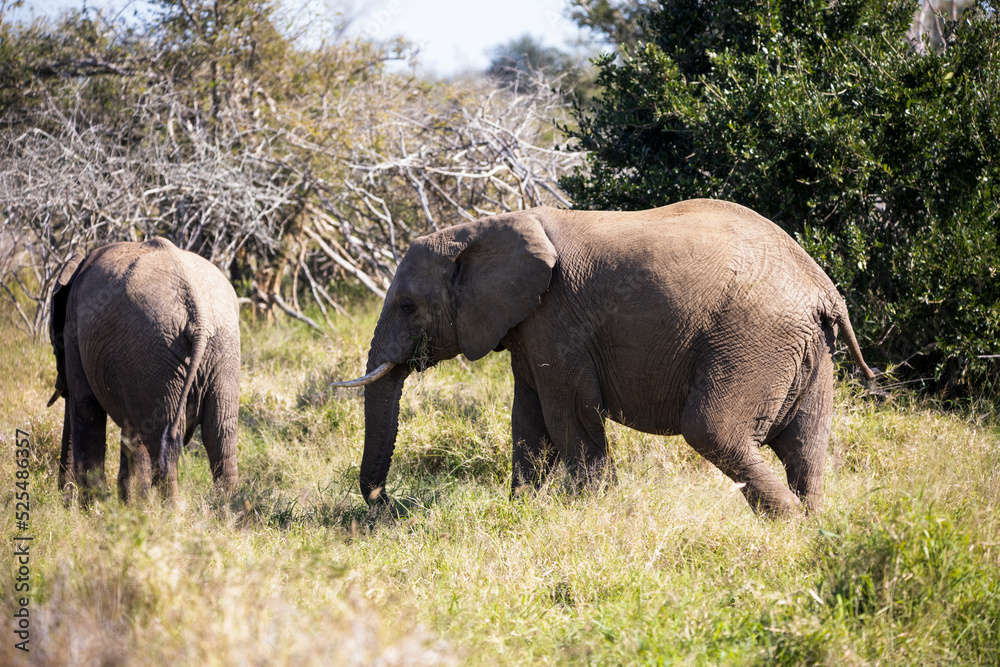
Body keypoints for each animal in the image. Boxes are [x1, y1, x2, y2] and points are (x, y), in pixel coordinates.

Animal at [49, 237, 242, 504]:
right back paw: (227, 509)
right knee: (220, 433)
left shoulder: (75, 334)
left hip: (155, 352)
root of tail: (200, 316)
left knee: (164, 439)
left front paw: (96, 508)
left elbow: (86, 410)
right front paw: (133, 507)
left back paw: (172, 512)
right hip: (219, 349)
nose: (64, 499)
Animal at [332, 198, 880, 516]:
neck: (479, 229)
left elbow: (567, 412)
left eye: (407, 305)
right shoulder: (527, 325)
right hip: (808, 351)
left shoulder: (556, 319)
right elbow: (528, 417)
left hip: (753, 339)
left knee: (712, 429)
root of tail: (822, 289)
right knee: (805, 444)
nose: (385, 504)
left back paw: (786, 523)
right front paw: (521, 512)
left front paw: (587, 514)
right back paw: (810, 526)